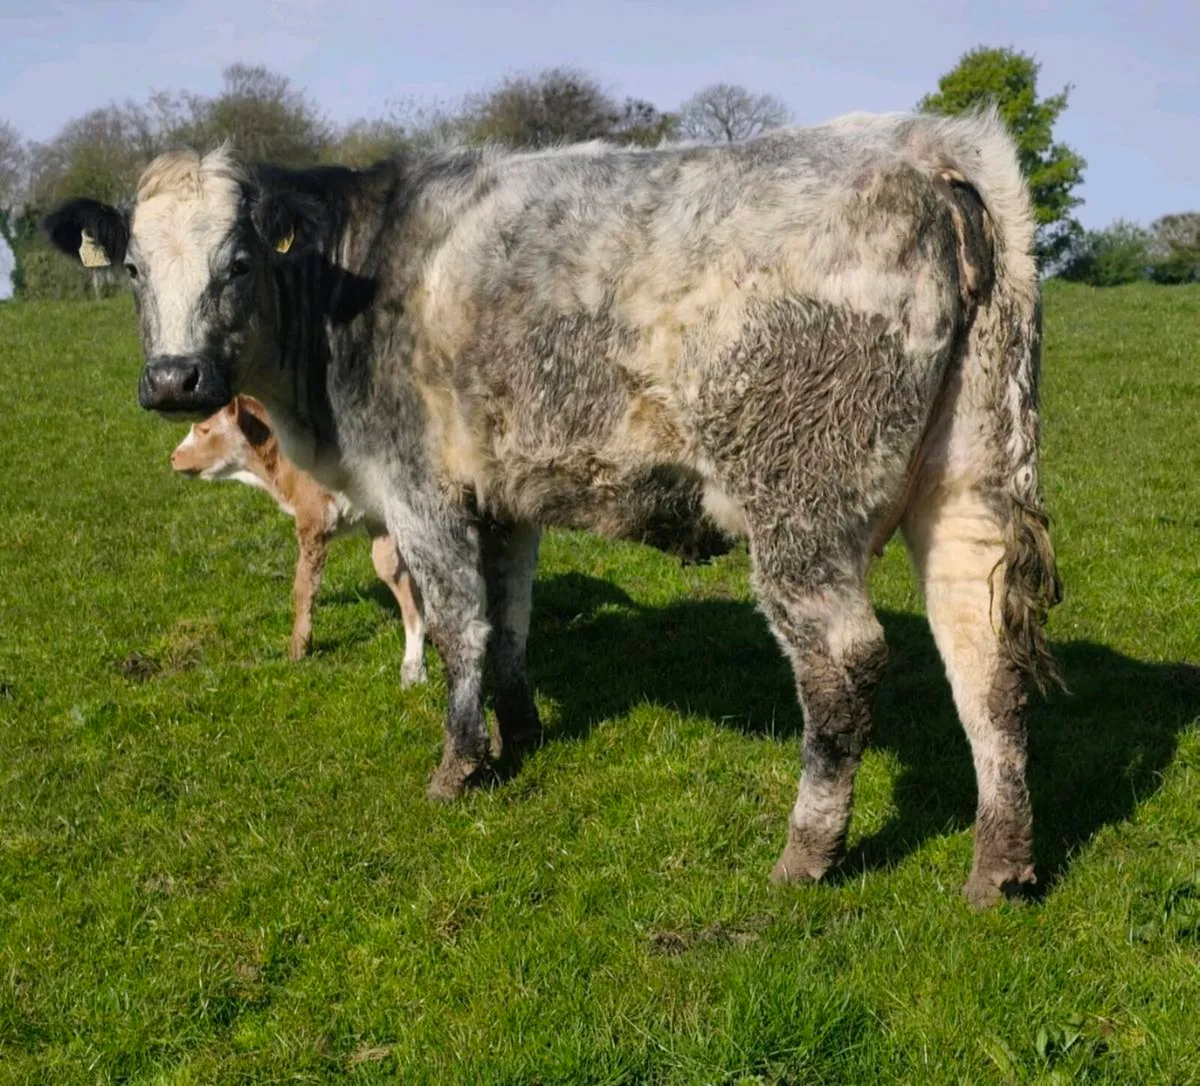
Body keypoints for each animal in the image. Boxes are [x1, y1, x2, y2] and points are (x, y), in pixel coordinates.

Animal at [170, 394, 428, 683]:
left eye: (205, 429)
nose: (173, 457)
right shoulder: (377, 521)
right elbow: (392, 571)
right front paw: (414, 665)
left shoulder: (312, 519)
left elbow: (304, 585)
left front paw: (298, 649)